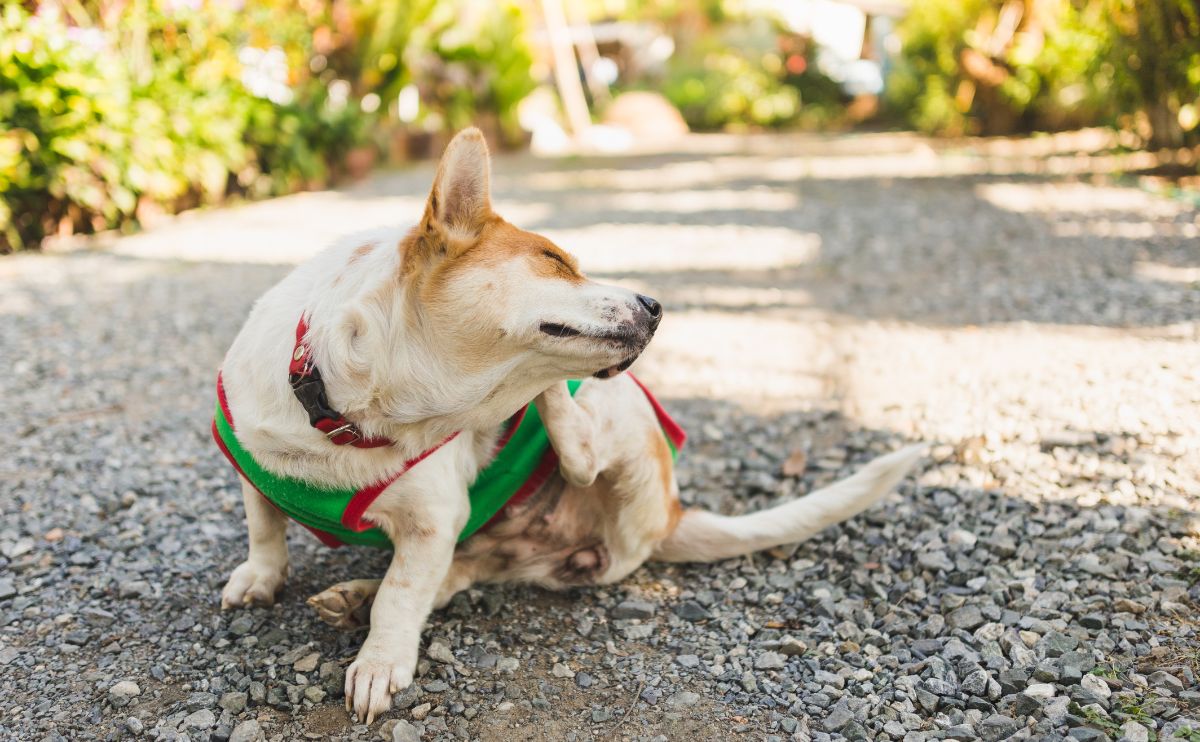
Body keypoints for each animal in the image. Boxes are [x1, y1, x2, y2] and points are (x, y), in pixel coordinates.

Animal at [216, 128, 921, 720]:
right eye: (555, 260)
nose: (656, 305)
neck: (349, 412)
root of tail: (672, 512)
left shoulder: (433, 521)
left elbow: (404, 594)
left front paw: (379, 662)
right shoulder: (255, 463)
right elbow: (264, 524)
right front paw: (261, 576)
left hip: (623, 413)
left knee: (578, 453)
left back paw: (546, 401)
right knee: (459, 573)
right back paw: (356, 593)